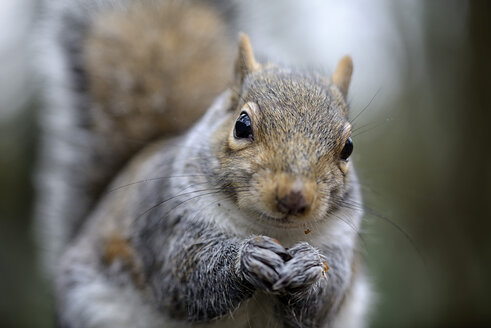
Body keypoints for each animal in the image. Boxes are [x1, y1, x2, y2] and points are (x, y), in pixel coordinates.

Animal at [35, 0, 372, 328]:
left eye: (348, 148)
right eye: (242, 125)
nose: (294, 197)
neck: (269, 228)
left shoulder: (339, 244)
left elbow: (326, 299)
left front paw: (309, 268)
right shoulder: (169, 224)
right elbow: (188, 275)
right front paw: (247, 257)